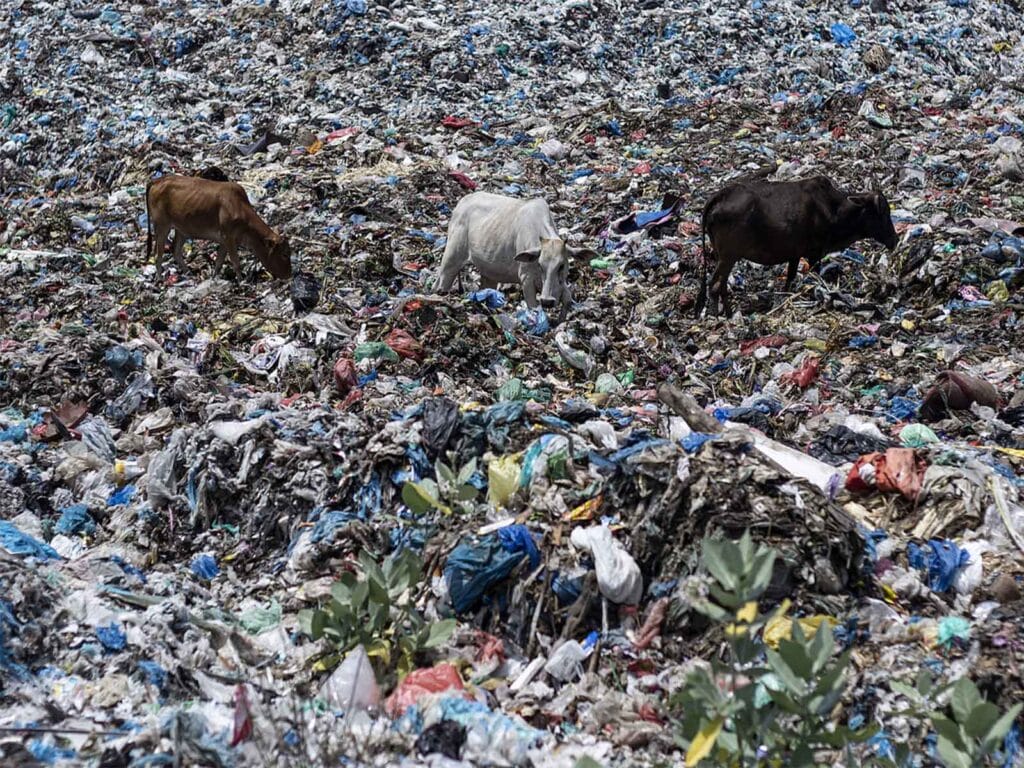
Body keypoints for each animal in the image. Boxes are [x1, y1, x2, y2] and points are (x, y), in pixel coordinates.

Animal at [144, 176, 290, 280]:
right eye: (284, 254)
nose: (289, 274)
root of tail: (157, 180)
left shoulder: (225, 240)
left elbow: (219, 261)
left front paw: (214, 277)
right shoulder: (228, 237)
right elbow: (235, 261)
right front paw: (242, 280)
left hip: (181, 229)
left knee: (175, 251)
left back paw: (188, 273)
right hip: (162, 225)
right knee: (158, 253)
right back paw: (159, 278)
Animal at [696, 174, 897, 315]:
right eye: (882, 212)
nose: (894, 240)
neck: (835, 209)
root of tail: (719, 196)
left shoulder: (794, 254)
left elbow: (790, 279)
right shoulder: (815, 254)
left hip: (724, 256)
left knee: (721, 285)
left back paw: (729, 313)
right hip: (728, 256)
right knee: (715, 285)